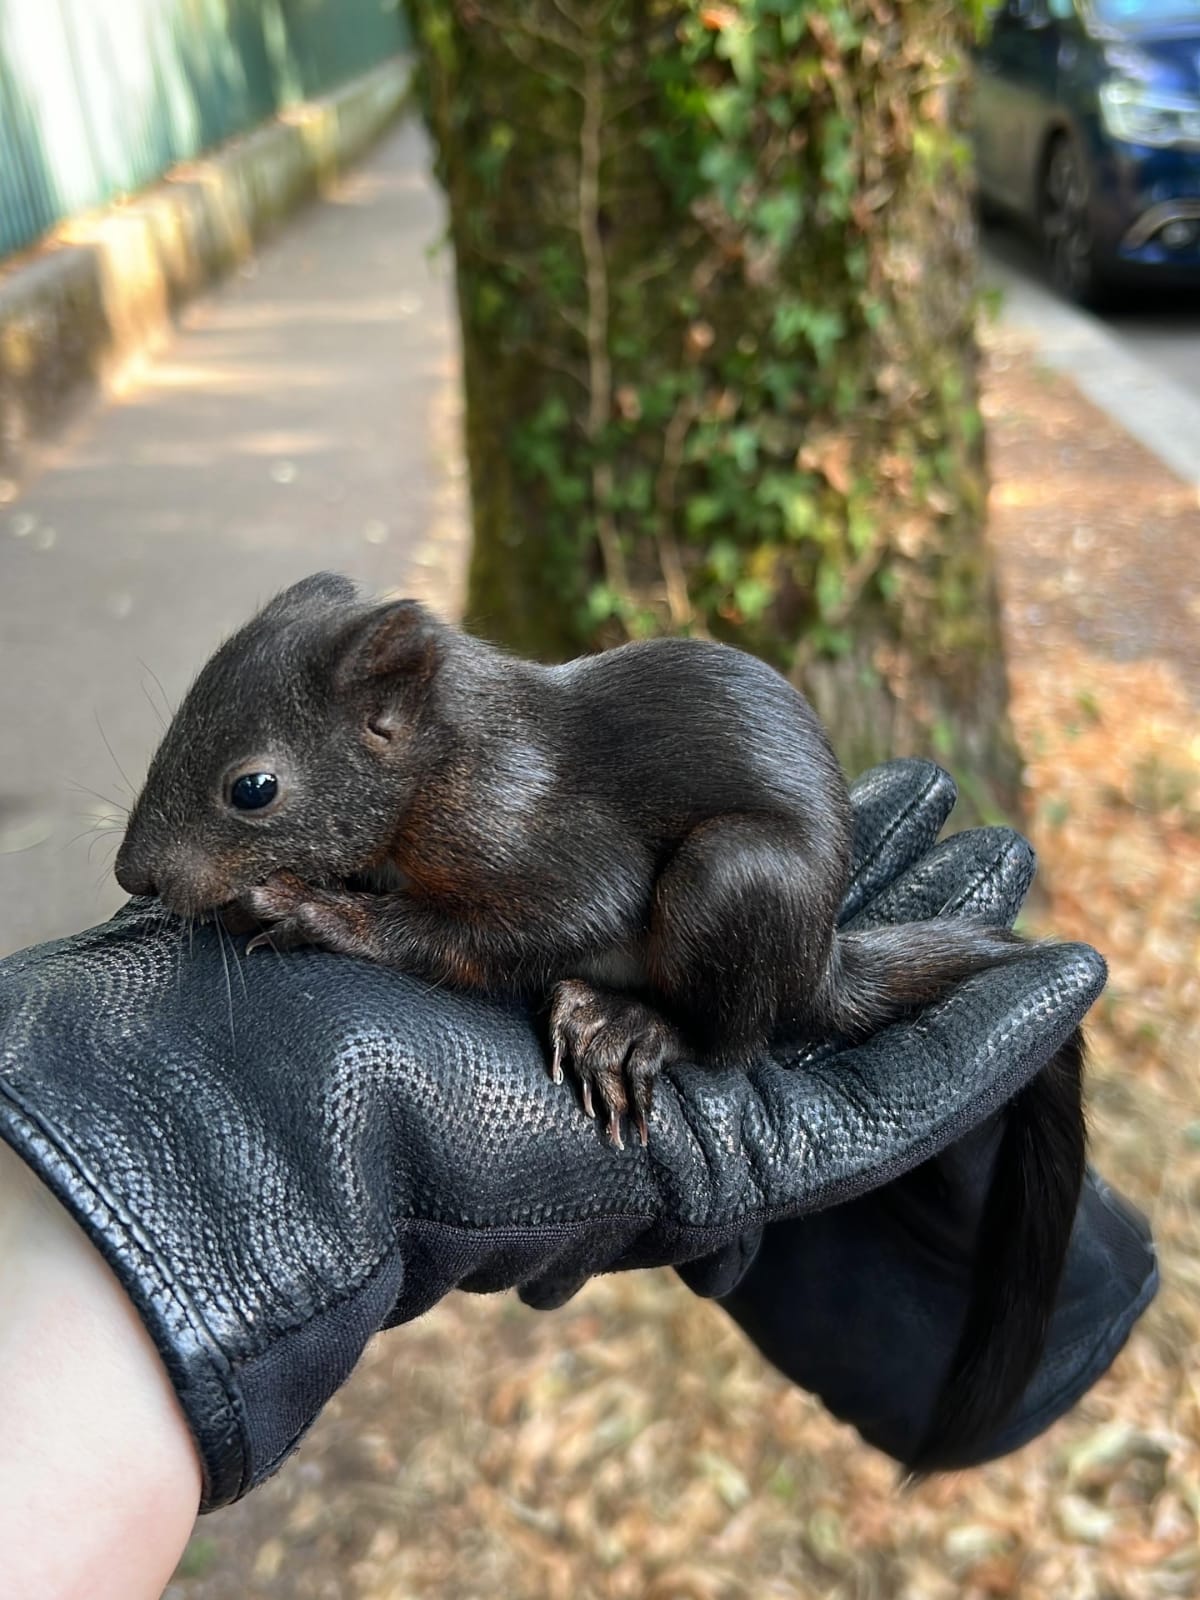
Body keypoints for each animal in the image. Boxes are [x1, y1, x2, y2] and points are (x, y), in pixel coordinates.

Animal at [114, 571, 1086, 1473]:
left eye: (254, 789)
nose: (133, 876)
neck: (443, 761)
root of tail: (819, 960)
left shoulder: (535, 844)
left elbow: (508, 929)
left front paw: (314, 912)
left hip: (735, 880)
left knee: (732, 1040)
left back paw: (626, 1023)